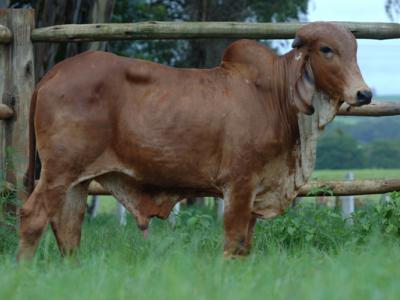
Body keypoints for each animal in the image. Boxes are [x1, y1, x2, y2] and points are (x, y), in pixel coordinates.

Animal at [17, 22, 370, 258]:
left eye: (355, 51)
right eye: (326, 50)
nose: (363, 93)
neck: (276, 96)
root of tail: (53, 74)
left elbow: (245, 246)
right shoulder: (239, 184)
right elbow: (233, 241)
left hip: (76, 181)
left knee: (68, 227)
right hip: (58, 171)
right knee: (33, 217)